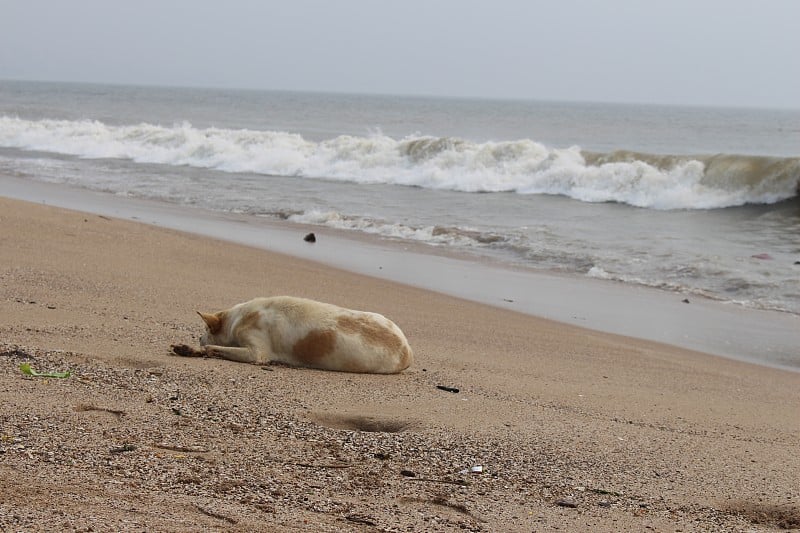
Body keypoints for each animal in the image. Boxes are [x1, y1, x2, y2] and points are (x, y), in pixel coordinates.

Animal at [195, 296, 412, 374]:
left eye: (206, 329)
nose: (198, 337)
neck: (238, 318)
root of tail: (408, 350)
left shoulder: (256, 352)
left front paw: (204, 348)